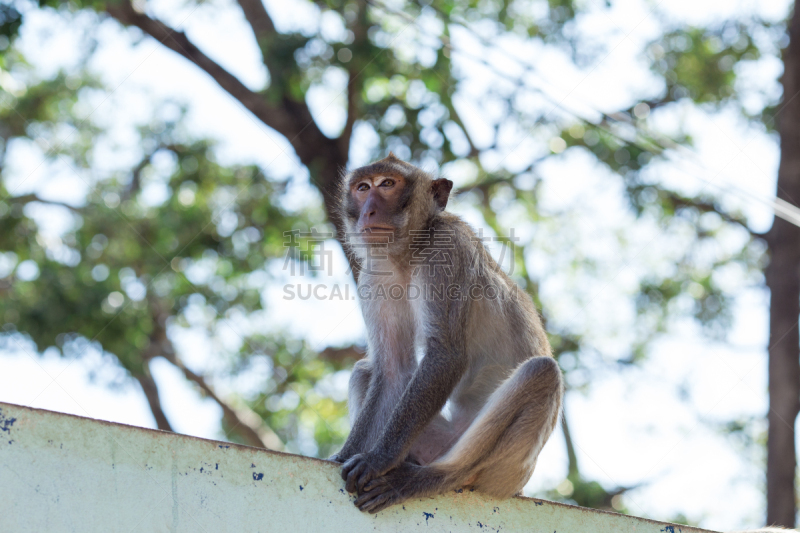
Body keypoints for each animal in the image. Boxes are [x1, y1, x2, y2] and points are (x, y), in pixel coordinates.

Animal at [324, 153, 564, 512]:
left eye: (388, 184)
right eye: (363, 187)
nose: (368, 210)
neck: (409, 252)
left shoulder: (445, 251)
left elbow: (446, 354)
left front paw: (377, 460)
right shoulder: (375, 273)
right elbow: (392, 368)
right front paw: (344, 455)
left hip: (509, 472)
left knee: (542, 372)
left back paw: (428, 478)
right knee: (366, 371)